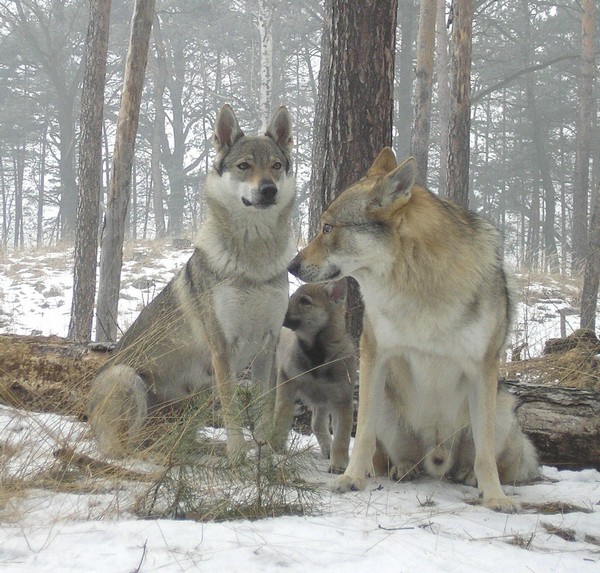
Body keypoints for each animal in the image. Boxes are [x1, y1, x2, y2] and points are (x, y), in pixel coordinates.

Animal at [88, 104, 296, 461]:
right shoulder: (222, 349)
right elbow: (232, 410)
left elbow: (263, 409)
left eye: (276, 166)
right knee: (124, 449)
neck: (254, 260)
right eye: (244, 166)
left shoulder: (266, 346)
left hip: (194, 397)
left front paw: (265, 458)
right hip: (129, 378)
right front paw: (238, 457)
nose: (268, 189)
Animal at [271, 280, 356, 473]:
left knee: (318, 424)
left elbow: (342, 438)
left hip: (323, 400)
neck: (316, 355)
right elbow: (281, 418)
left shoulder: (342, 400)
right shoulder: (287, 383)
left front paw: (339, 464)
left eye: (305, 301)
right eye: (292, 296)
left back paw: (327, 449)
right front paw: (276, 449)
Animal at [287, 147, 538, 512]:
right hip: (386, 404)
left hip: (501, 407)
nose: (291, 265)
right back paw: (401, 469)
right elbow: (362, 435)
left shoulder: (483, 367)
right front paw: (351, 479)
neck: (418, 283)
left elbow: (486, 454)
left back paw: (468, 477)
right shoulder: (373, 353)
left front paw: (495, 497)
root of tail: (436, 458)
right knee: (391, 456)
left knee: (489, 459)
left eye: (328, 227)